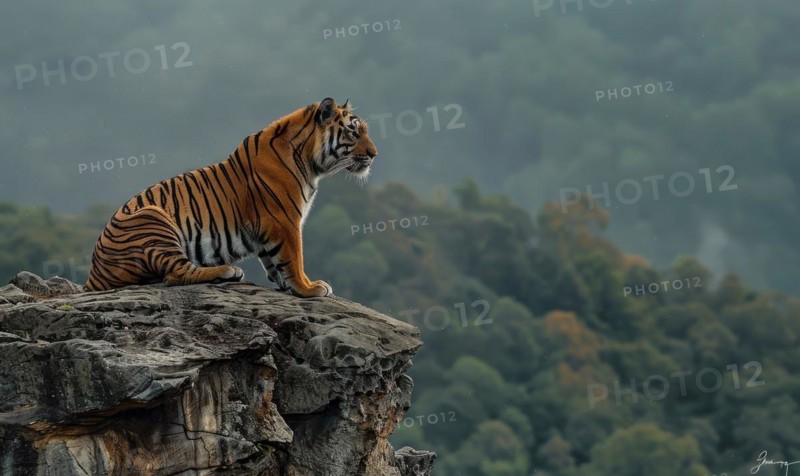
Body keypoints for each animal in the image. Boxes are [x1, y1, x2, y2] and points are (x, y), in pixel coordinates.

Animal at [84, 98, 377, 297]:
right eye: (354, 133)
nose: (374, 154)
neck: (310, 162)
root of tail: (93, 273)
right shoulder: (284, 221)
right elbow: (294, 258)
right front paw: (309, 287)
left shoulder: (269, 229)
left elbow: (274, 261)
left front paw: (287, 285)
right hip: (153, 217)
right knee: (176, 272)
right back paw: (227, 271)